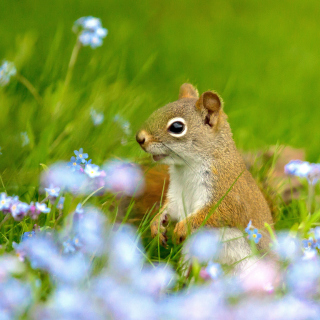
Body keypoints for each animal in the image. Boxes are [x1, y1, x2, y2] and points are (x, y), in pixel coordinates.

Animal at [136, 82, 274, 264]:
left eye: (177, 127)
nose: (139, 138)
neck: (186, 168)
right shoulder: (177, 194)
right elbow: (170, 208)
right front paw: (157, 224)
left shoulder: (227, 191)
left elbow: (216, 213)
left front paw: (182, 228)